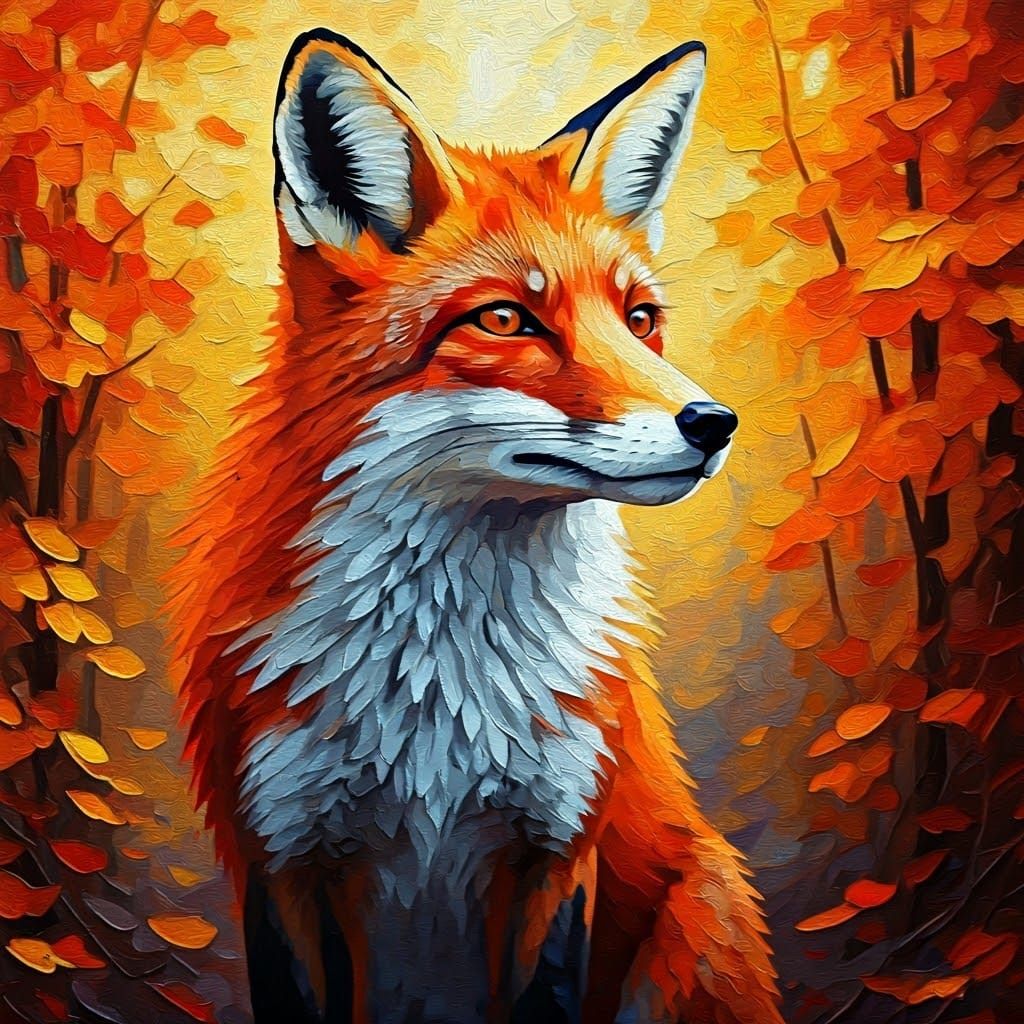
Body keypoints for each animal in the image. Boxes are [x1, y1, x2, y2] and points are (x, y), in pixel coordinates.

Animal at [167, 26, 784, 1024]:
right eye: (505, 318)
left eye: (640, 319)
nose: (714, 424)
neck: (438, 690)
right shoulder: (281, 862)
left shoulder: (556, 856)